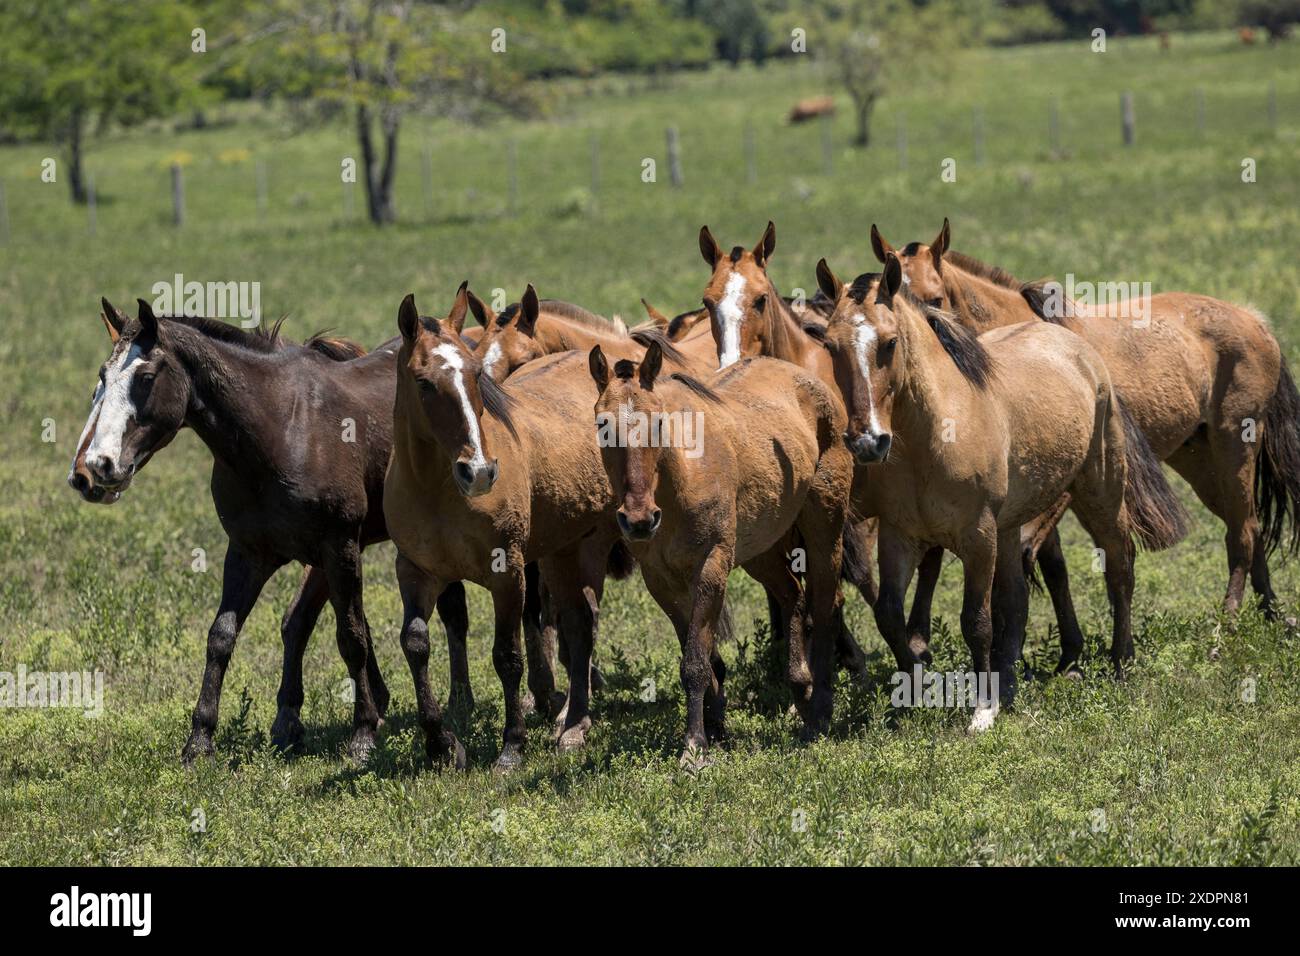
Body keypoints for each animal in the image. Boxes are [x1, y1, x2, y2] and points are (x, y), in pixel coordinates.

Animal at [67, 297, 502, 763]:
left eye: (146, 377)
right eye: (102, 378)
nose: (97, 467)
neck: (281, 431)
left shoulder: (338, 546)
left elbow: (350, 636)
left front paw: (363, 733)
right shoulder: (249, 553)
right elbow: (223, 636)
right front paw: (200, 739)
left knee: (451, 613)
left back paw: (459, 703)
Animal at [384, 284, 628, 769]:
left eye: (476, 375)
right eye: (423, 382)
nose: (478, 472)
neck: (436, 489)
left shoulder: (508, 572)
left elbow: (508, 655)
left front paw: (512, 746)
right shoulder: (415, 572)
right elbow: (415, 645)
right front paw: (442, 744)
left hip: (590, 546)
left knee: (584, 624)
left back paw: (575, 724)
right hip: (560, 551)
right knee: (576, 623)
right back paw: (571, 721)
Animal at [587, 340, 854, 766]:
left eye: (657, 423)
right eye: (602, 426)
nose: (639, 520)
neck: (679, 478)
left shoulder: (711, 567)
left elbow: (695, 661)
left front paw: (695, 748)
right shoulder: (662, 581)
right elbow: (704, 658)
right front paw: (715, 730)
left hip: (824, 527)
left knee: (826, 604)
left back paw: (819, 715)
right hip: (760, 550)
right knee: (793, 596)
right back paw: (801, 689)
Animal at [815, 254, 1188, 728]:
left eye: (889, 343)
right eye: (830, 346)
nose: (867, 441)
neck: (933, 434)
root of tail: (1081, 351)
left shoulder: (978, 537)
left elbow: (976, 620)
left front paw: (982, 711)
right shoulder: (900, 536)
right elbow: (890, 616)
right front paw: (913, 694)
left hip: (1099, 492)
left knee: (1120, 565)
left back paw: (1121, 662)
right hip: (1012, 526)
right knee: (1017, 598)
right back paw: (1010, 684)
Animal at [874, 219, 1300, 623]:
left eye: (935, 298)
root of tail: (1254, 320)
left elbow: (1029, 555)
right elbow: (1051, 566)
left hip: (1234, 445)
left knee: (1242, 534)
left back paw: (1228, 621)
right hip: (1200, 460)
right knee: (1248, 525)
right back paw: (1269, 612)